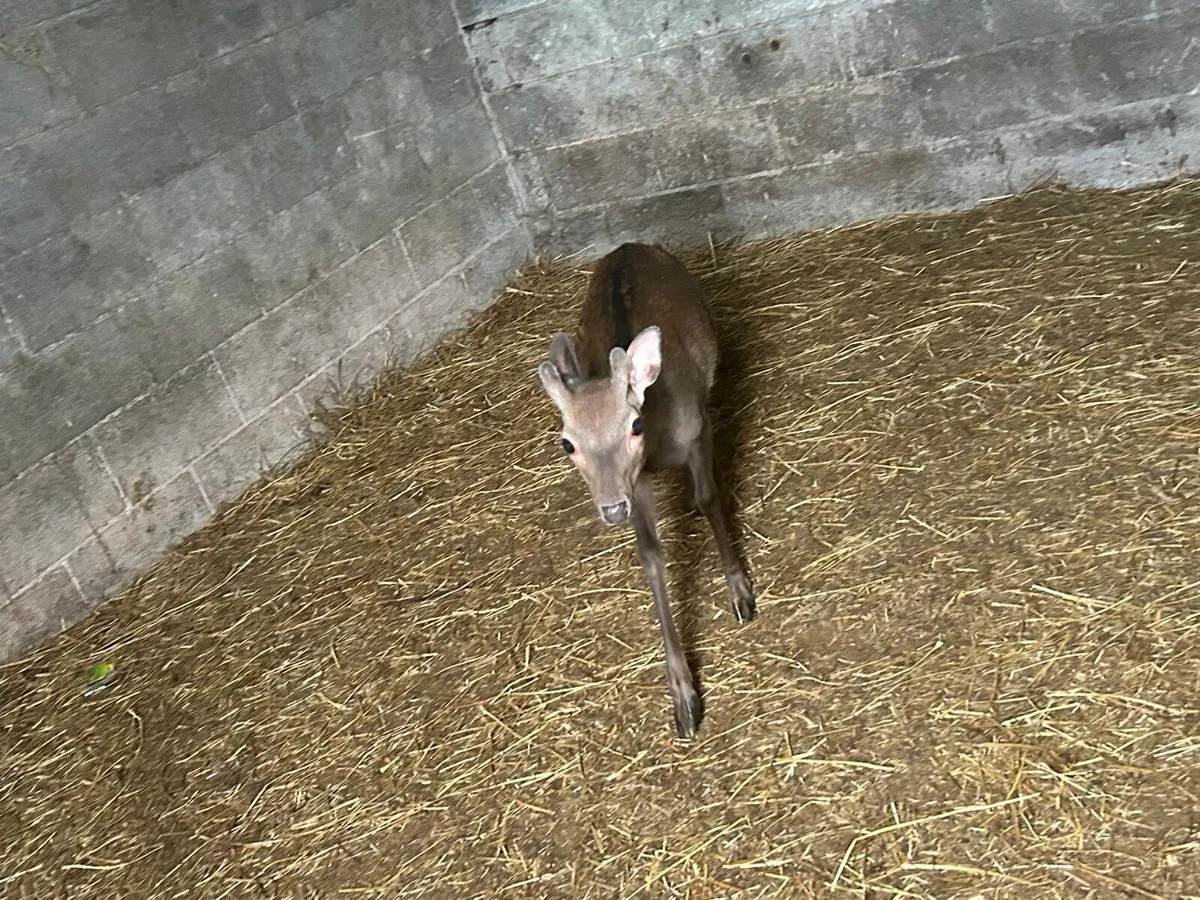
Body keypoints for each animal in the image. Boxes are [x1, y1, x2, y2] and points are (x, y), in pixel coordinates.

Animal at [537, 242, 755, 739]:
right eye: (567, 443)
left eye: (634, 425)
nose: (612, 509)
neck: (657, 447)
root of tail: (627, 247)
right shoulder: (636, 484)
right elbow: (652, 557)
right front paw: (684, 699)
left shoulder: (697, 431)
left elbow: (709, 498)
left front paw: (741, 593)